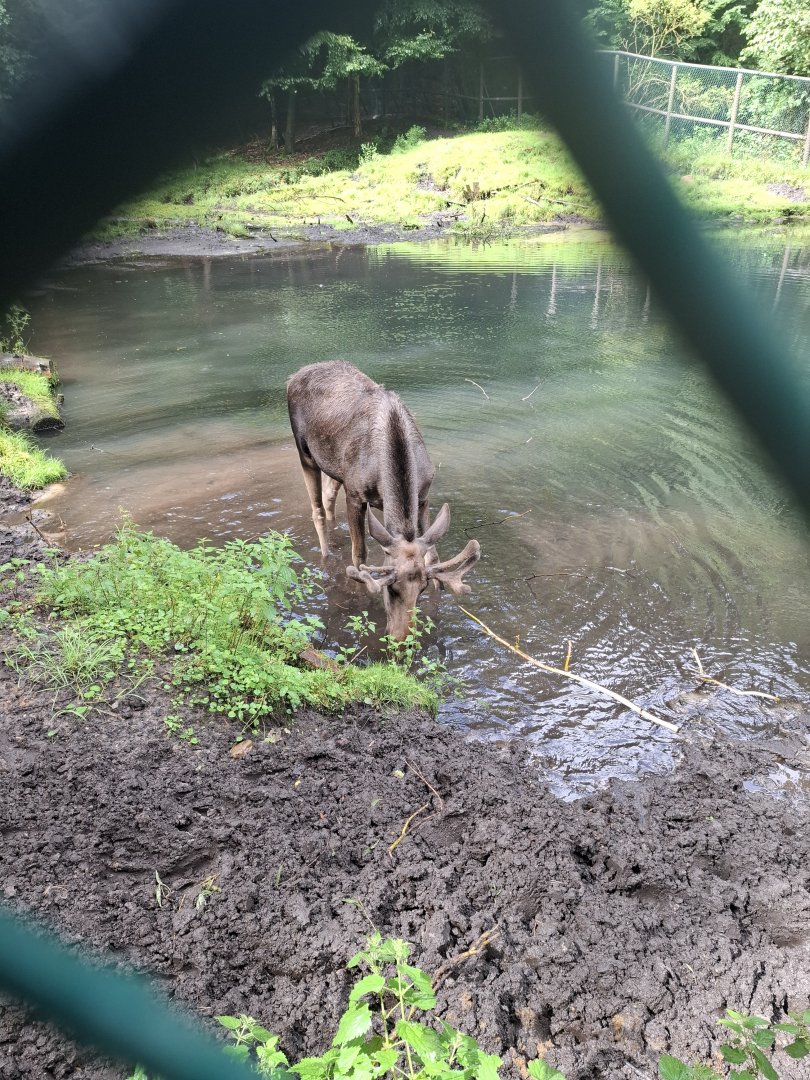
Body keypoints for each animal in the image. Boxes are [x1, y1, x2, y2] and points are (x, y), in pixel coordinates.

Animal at [287, 361, 481, 641]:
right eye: (391, 589)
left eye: (422, 589)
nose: (401, 638)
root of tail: (294, 376)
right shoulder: (355, 495)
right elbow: (359, 556)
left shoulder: (423, 497)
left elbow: (433, 558)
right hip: (305, 453)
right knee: (317, 510)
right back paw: (325, 555)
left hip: (336, 468)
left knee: (328, 494)